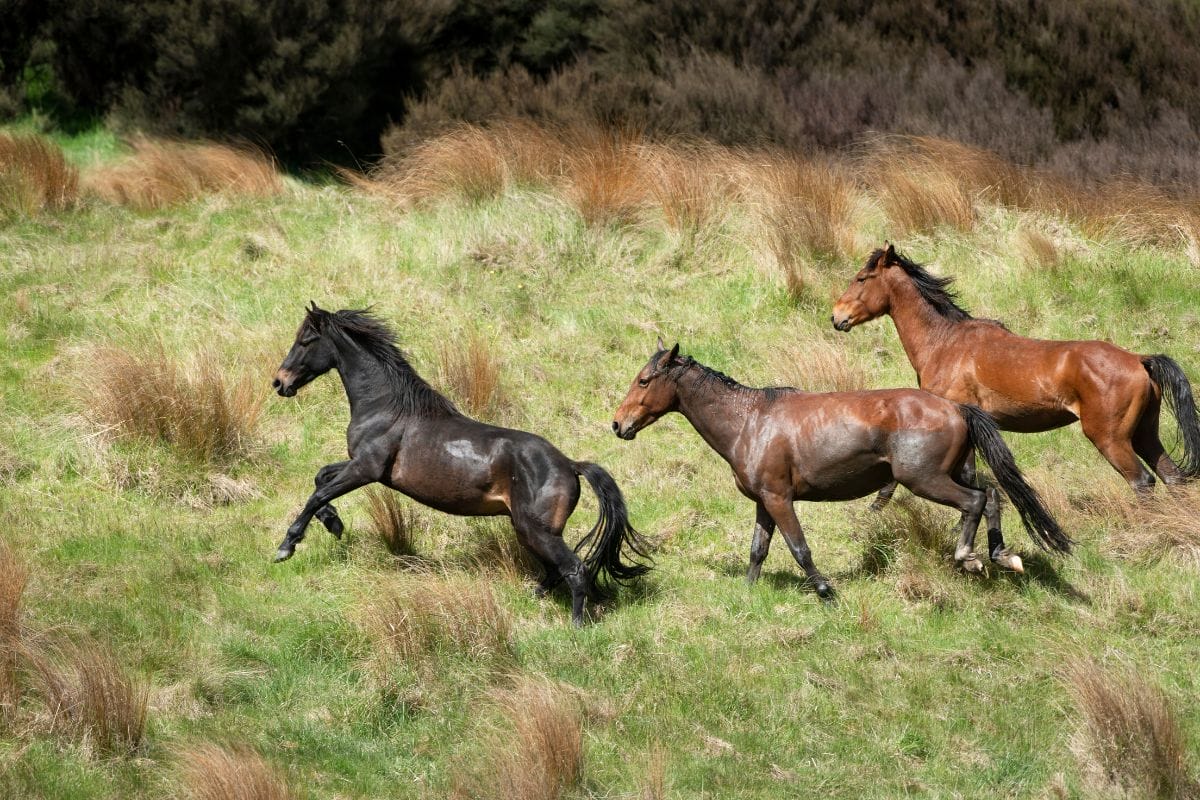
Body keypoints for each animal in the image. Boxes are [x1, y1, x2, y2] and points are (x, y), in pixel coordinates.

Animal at [271, 304, 650, 625]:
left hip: (537, 530)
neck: (386, 407)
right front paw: (333, 524)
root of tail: (570, 464)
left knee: (574, 570)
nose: (279, 382)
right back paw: (533, 598)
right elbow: (320, 478)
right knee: (556, 571)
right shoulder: (359, 467)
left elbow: (317, 494)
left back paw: (576, 626)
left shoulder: (366, 468)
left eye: (305, 340)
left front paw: (286, 547)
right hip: (529, 530)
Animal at [612, 341, 1070, 595]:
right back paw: (1000, 554)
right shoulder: (764, 501)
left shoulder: (780, 499)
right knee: (992, 495)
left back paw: (968, 556)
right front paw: (747, 591)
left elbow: (799, 548)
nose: (618, 424)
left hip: (925, 479)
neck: (750, 421)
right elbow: (758, 549)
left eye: (644, 380)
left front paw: (824, 589)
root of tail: (956, 407)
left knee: (974, 501)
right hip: (955, 473)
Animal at [831, 245, 1200, 526]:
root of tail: (1139, 360)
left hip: (1111, 439)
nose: (836, 317)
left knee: (1143, 481)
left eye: (862, 278)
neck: (944, 342)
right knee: (1171, 476)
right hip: (1144, 434)